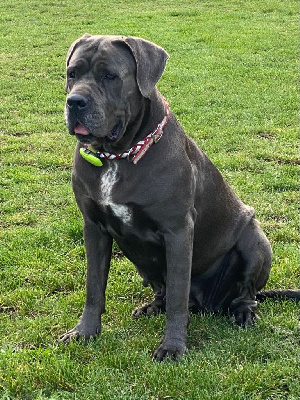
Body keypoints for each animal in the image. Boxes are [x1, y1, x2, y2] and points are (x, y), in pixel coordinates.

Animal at [61, 33, 300, 360]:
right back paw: (152, 307)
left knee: (243, 294)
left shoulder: (177, 231)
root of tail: (207, 304)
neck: (118, 155)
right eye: (72, 74)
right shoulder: (93, 228)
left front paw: (173, 347)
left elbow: (177, 295)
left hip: (255, 239)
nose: (75, 102)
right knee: (165, 292)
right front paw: (85, 332)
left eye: (109, 76)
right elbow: (94, 287)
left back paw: (243, 312)